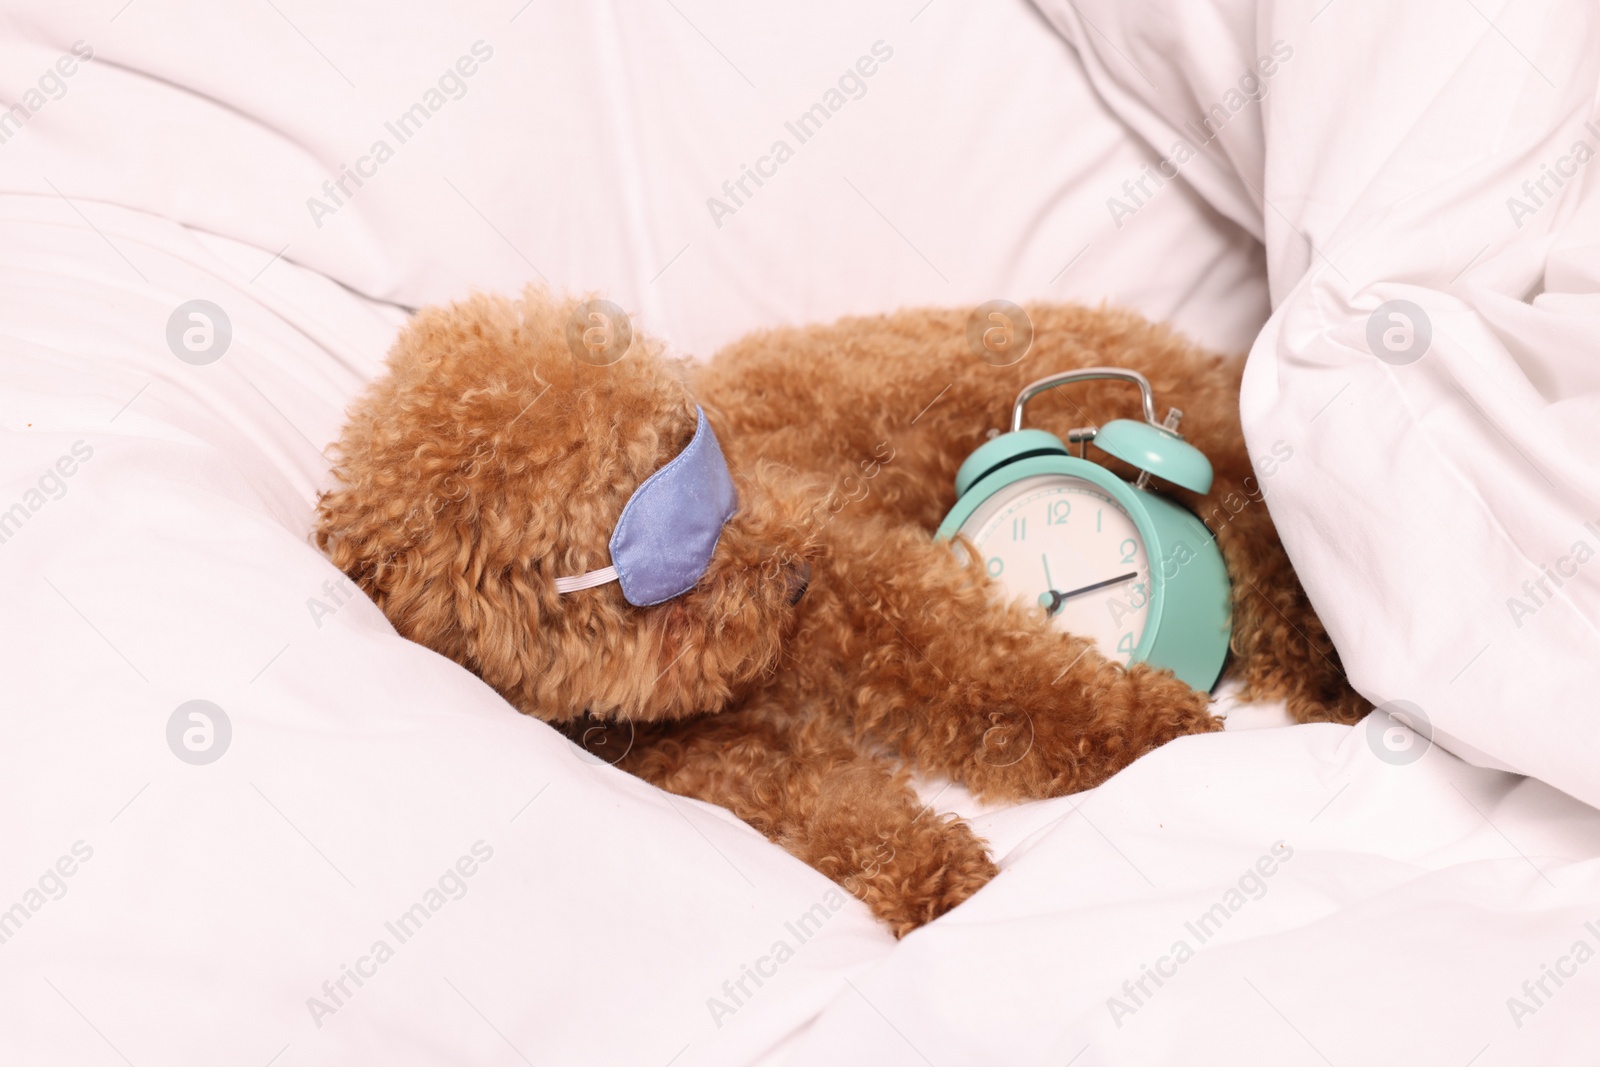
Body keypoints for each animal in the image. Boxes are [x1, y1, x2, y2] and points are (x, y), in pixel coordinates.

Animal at [318, 287, 1369, 940]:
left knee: (1259, 542)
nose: (790, 579)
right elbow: (834, 807)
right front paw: (937, 874)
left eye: (706, 466)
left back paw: (1328, 669)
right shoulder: (723, 761)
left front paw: (1144, 723)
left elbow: (994, 668)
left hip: (1199, 454)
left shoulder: (867, 586)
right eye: (659, 565)